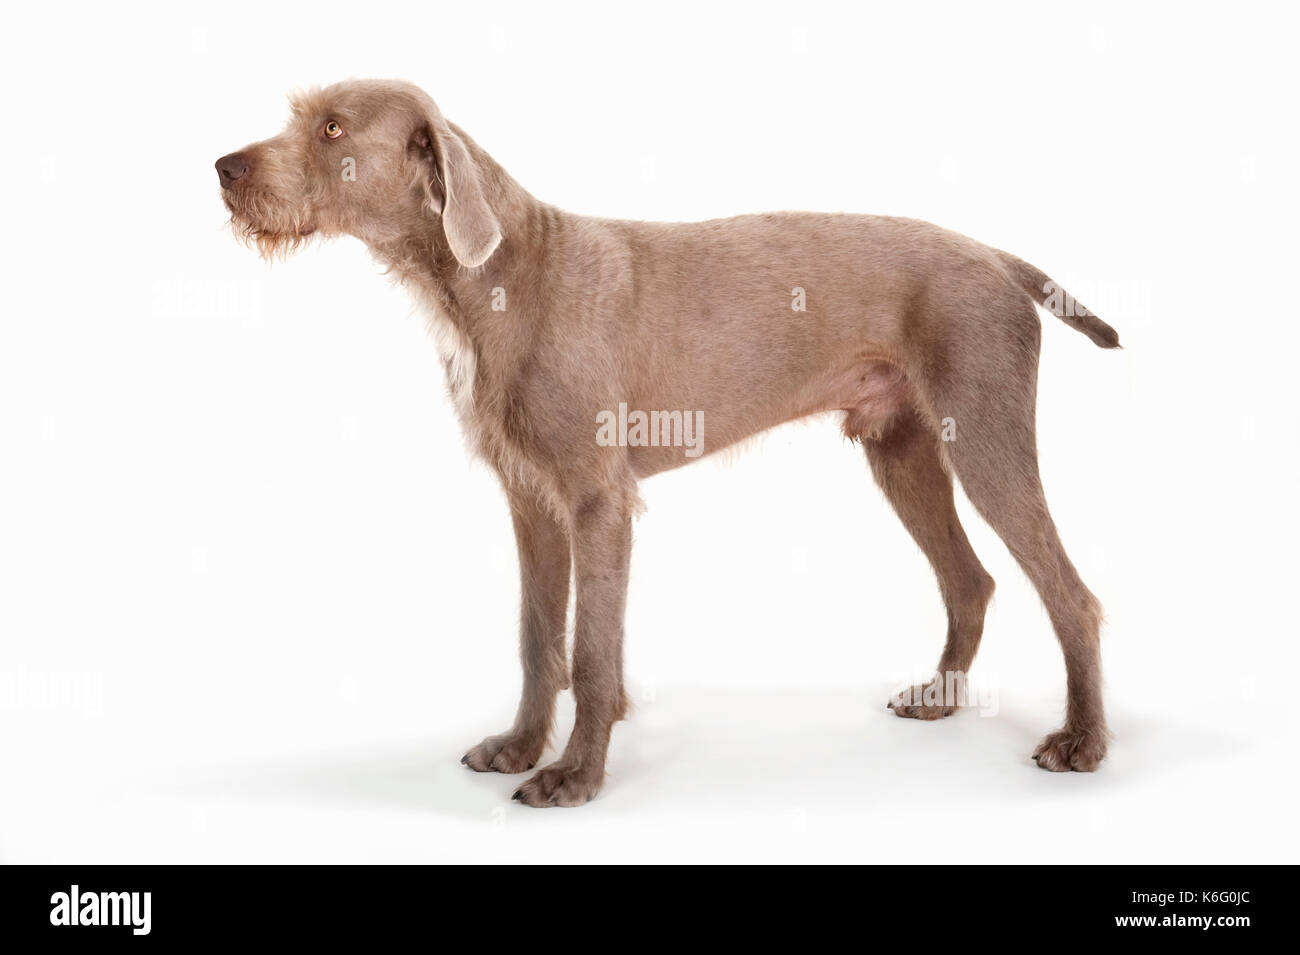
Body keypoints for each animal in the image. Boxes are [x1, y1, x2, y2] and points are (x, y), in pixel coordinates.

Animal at [215, 78, 1118, 805]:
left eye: (332, 127)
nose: (223, 167)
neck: (498, 279)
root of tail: (992, 255)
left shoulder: (597, 500)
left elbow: (589, 649)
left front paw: (576, 775)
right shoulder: (531, 500)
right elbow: (538, 637)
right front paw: (521, 746)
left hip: (987, 434)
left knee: (1071, 595)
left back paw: (1083, 741)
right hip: (901, 448)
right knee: (970, 581)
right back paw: (941, 699)